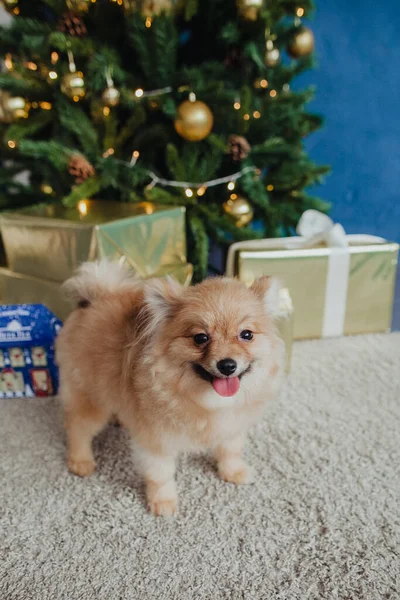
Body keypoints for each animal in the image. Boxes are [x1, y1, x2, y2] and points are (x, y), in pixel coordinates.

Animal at [56, 260, 284, 516]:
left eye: (246, 335)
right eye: (200, 338)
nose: (227, 365)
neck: (209, 400)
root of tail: (94, 296)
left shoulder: (233, 426)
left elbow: (230, 450)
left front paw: (233, 472)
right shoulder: (157, 440)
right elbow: (160, 474)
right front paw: (163, 502)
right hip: (90, 397)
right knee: (77, 427)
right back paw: (80, 461)